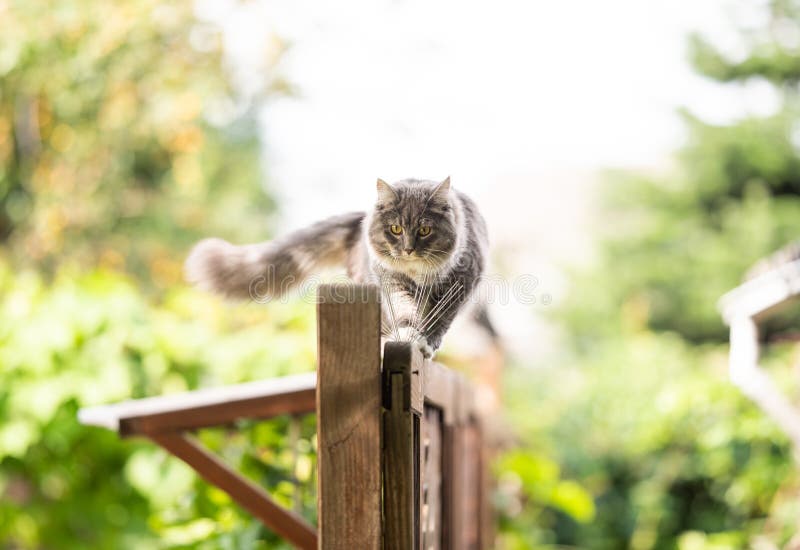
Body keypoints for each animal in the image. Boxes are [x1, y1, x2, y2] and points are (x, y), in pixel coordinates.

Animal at [186, 176, 488, 358]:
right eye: (396, 229)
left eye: (425, 230)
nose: (408, 249)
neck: (418, 273)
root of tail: (361, 218)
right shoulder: (392, 282)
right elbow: (405, 311)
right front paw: (408, 333)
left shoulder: (461, 283)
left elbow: (440, 318)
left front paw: (426, 341)